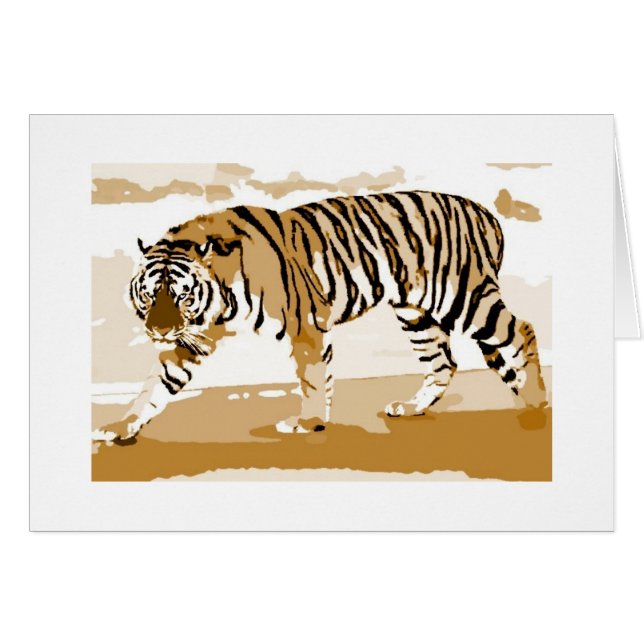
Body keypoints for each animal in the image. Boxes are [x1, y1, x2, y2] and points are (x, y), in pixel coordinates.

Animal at [94, 190, 547, 442]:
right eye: (148, 295)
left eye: (183, 296)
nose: (159, 331)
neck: (220, 296)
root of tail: (487, 214)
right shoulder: (192, 340)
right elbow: (154, 387)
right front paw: (121, 426)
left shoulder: (304, 323)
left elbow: (312, 377)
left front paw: (308, 423)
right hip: (416, 312)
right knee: (443, 362)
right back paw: (411, 407)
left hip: (466, 296)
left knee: (521, 330)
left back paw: (537, 403)